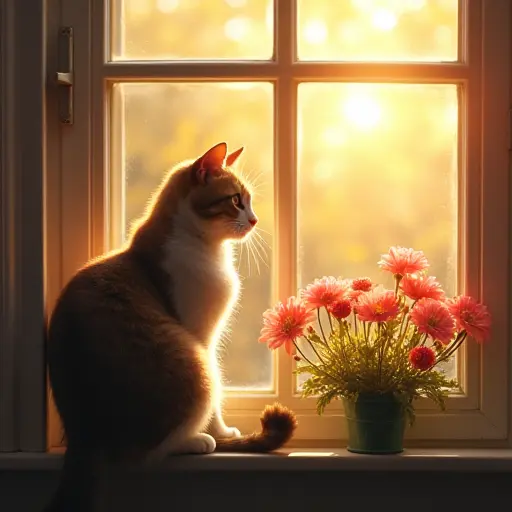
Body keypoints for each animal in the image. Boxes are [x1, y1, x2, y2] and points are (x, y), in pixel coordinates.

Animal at [46, 141, 298, 512]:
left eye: (249, 201)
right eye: (236, 200)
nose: (253, 219)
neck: (206, 248)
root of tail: (85, 433)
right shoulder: (202, 338)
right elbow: (218, 397)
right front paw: (221, 432)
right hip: (193, 361)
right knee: (150, 451)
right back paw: (198, 441)